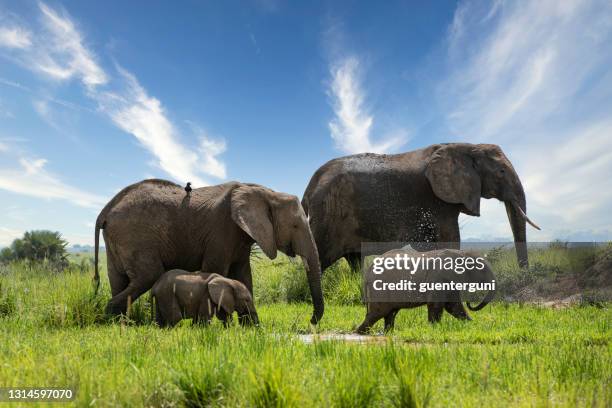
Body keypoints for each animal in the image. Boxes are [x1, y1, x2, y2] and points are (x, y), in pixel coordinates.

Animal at [93, 180, 322, 324]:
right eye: (295, 226)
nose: (311, 321)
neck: (267, 193)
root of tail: (105, 210)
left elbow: (243, 276)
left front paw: (252, 329)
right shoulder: (221, 232)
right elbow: (217, 269)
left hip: (117, 240)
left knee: (118, 279)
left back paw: (120, 321)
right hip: (134, 236)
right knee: (148, 275)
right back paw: (114, 321)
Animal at [302, 143, 540, 270]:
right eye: (501, 172)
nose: (524, 274)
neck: (467, 146)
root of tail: (308, 188)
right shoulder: (438, 200)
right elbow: (451, 239)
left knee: (354, 259)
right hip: (328, 216)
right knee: (320, 258)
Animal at [356, 247, 494, 334]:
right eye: (482, 270)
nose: (470, 303)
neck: (462, 253)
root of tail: (368, 271)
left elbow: (453, 306)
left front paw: (472, 325)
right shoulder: (439, 277)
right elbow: (437, 304)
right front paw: (435, 329)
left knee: (390, 314)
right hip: (380, 289)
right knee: (377, 313)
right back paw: (360, 333)